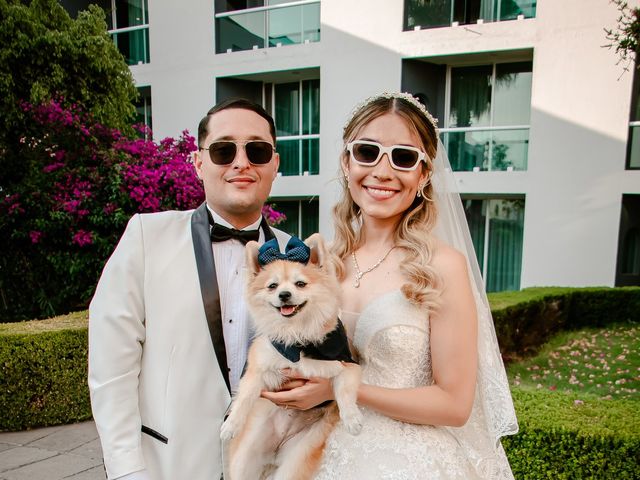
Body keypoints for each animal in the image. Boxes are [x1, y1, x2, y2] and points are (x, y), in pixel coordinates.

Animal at [219, 233, 360, 480]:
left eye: (300, 284)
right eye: (272, 286)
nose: (284, 295)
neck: (296, 335)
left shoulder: (347, 364)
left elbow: (344, 389)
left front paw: (352, 418)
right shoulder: (258, 369)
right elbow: (245, 397)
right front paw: (232, 425)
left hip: (297, 459)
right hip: (246, 458)